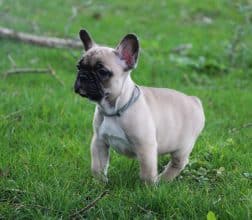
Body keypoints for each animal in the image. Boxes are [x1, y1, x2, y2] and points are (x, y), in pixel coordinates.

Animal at [74, 29, 204, 184]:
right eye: (79, 67)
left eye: (102, 72)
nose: (83, 76)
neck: (115, 109)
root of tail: (194, 100)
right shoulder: (99, 142)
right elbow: (97, 167)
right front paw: (100, 184)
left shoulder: (145, 146)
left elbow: (147, 172)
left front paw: (149, 188)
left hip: (183, 147)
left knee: (177, 163)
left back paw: (162, 180)